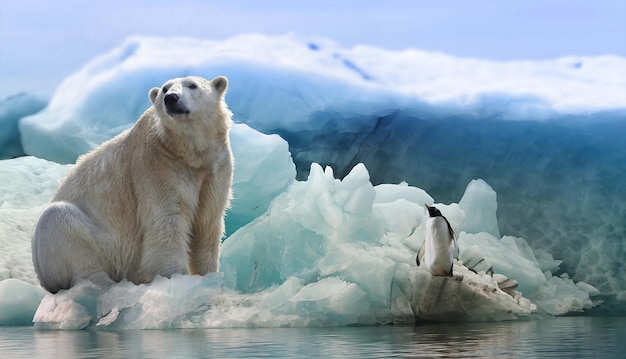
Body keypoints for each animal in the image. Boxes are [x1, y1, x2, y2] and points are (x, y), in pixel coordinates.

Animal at [32, 76, 232, 296]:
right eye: (165, 89)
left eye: (192, 85)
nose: (171, 98)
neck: (187, 153)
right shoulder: (157, 166)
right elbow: (167, 223)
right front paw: (176, 279)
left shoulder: (215, 168)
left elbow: (207, 222)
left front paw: (209, 277)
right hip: (98, 244)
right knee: (60, 223)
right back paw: (103, 285)